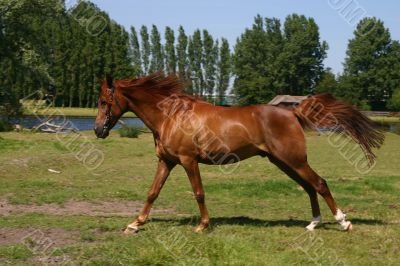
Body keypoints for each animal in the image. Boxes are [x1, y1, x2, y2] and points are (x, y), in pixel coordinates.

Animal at [94, 72, 384, 233]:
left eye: (104, 101)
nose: (98, 130)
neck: (171, 116)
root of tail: (292, 112)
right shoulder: (167, 161)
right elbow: (152, 192)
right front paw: (135, 224)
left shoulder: (189, 161)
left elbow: (198, 193)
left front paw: (202, 225)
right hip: (284, 162)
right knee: (309, 186)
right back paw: (313, 223)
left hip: (293, 159)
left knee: (320, 183)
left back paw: (343, 222)